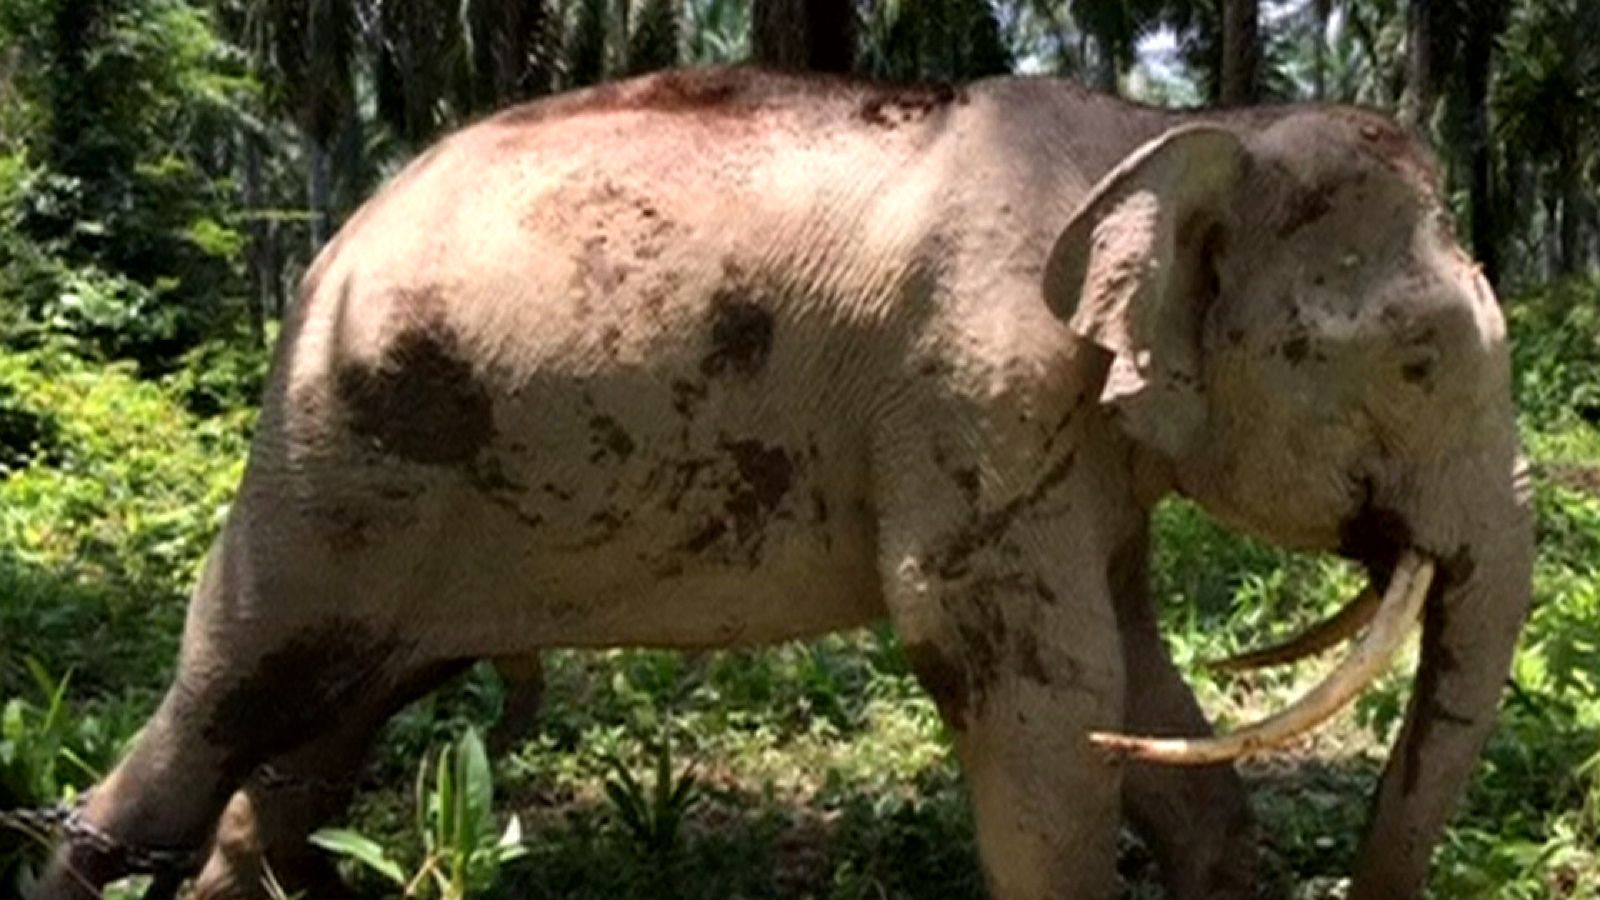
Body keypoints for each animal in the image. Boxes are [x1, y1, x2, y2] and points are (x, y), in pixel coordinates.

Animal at [31, 66, 1529, 896]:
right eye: (1416, 362)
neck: (1176, 126)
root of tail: (332, 242)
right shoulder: (970, 391)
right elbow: (1032, 689)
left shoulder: (1075, 445)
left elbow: (1137, 694)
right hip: (334, 462)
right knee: (225, 704)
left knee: (307, 753)